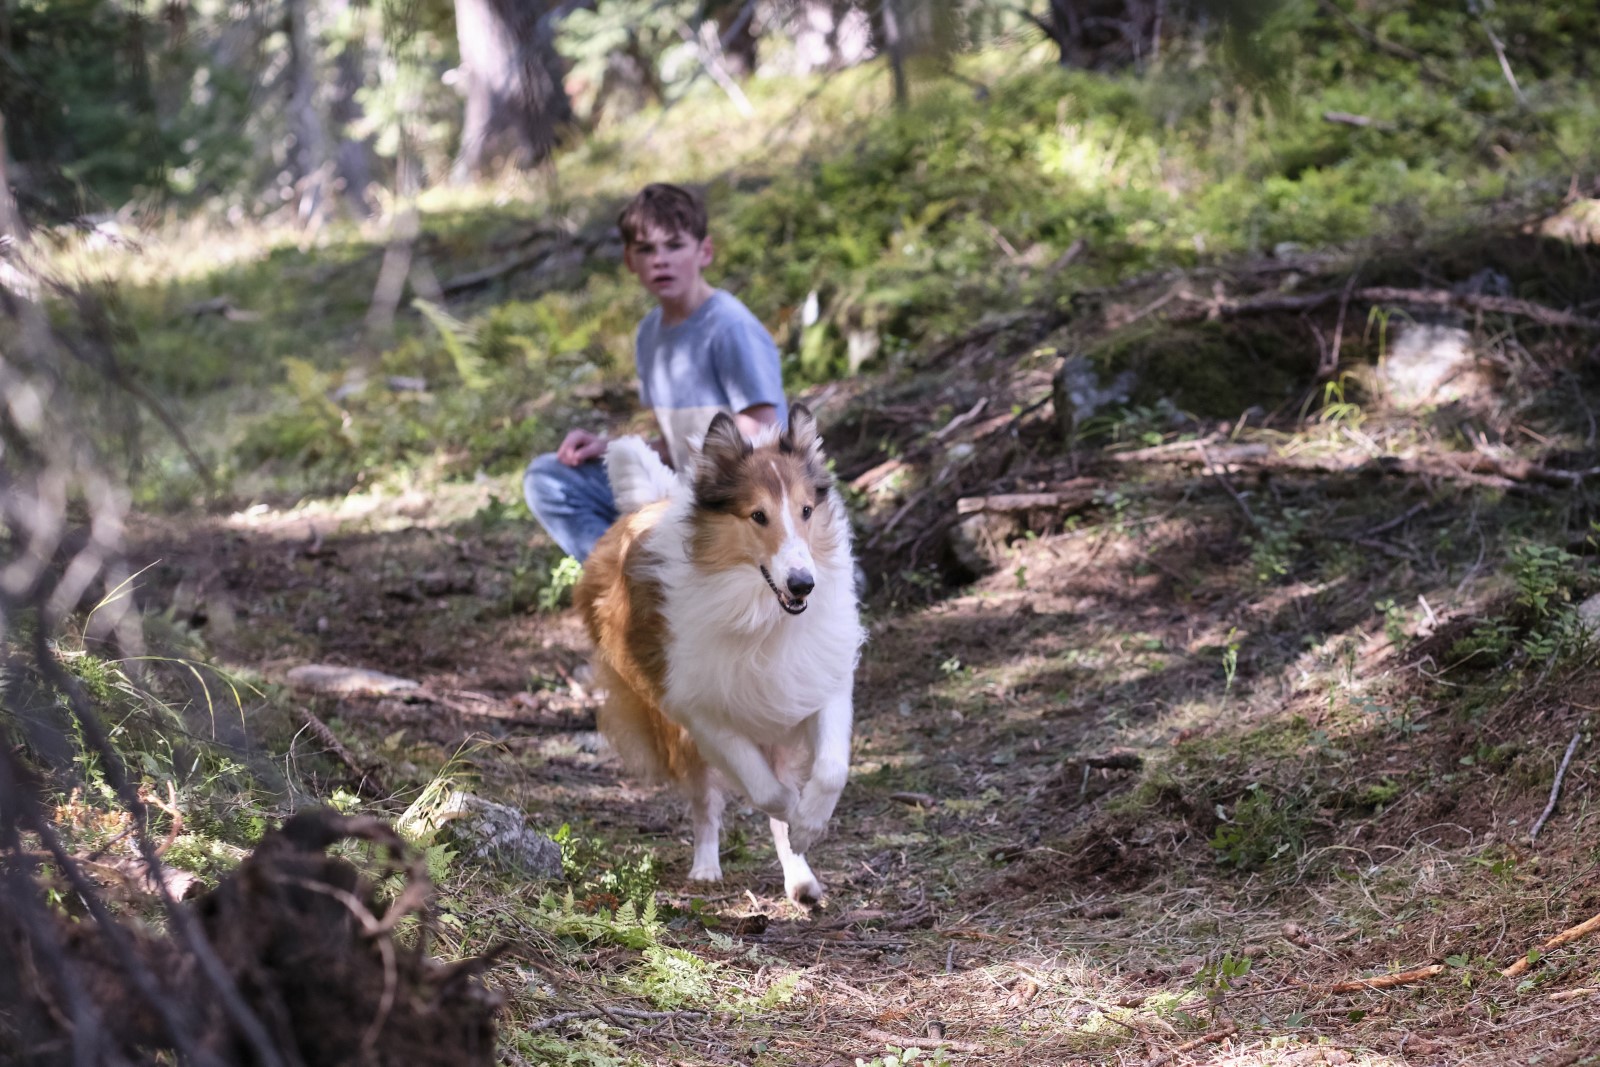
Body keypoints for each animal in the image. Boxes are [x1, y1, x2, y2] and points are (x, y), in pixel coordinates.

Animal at [579, 404, 864, 908]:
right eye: (758, 515)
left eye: (806, 510)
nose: (803, 584)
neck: (761, 613)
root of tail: (651, 503)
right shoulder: (702, 712)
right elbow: (767, 791)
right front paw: (796, 812)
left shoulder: (819, 683)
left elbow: (830, 770)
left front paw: (808, 824)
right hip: (672, 728)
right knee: (705, 804)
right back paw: (706, 866)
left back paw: (800, 879)